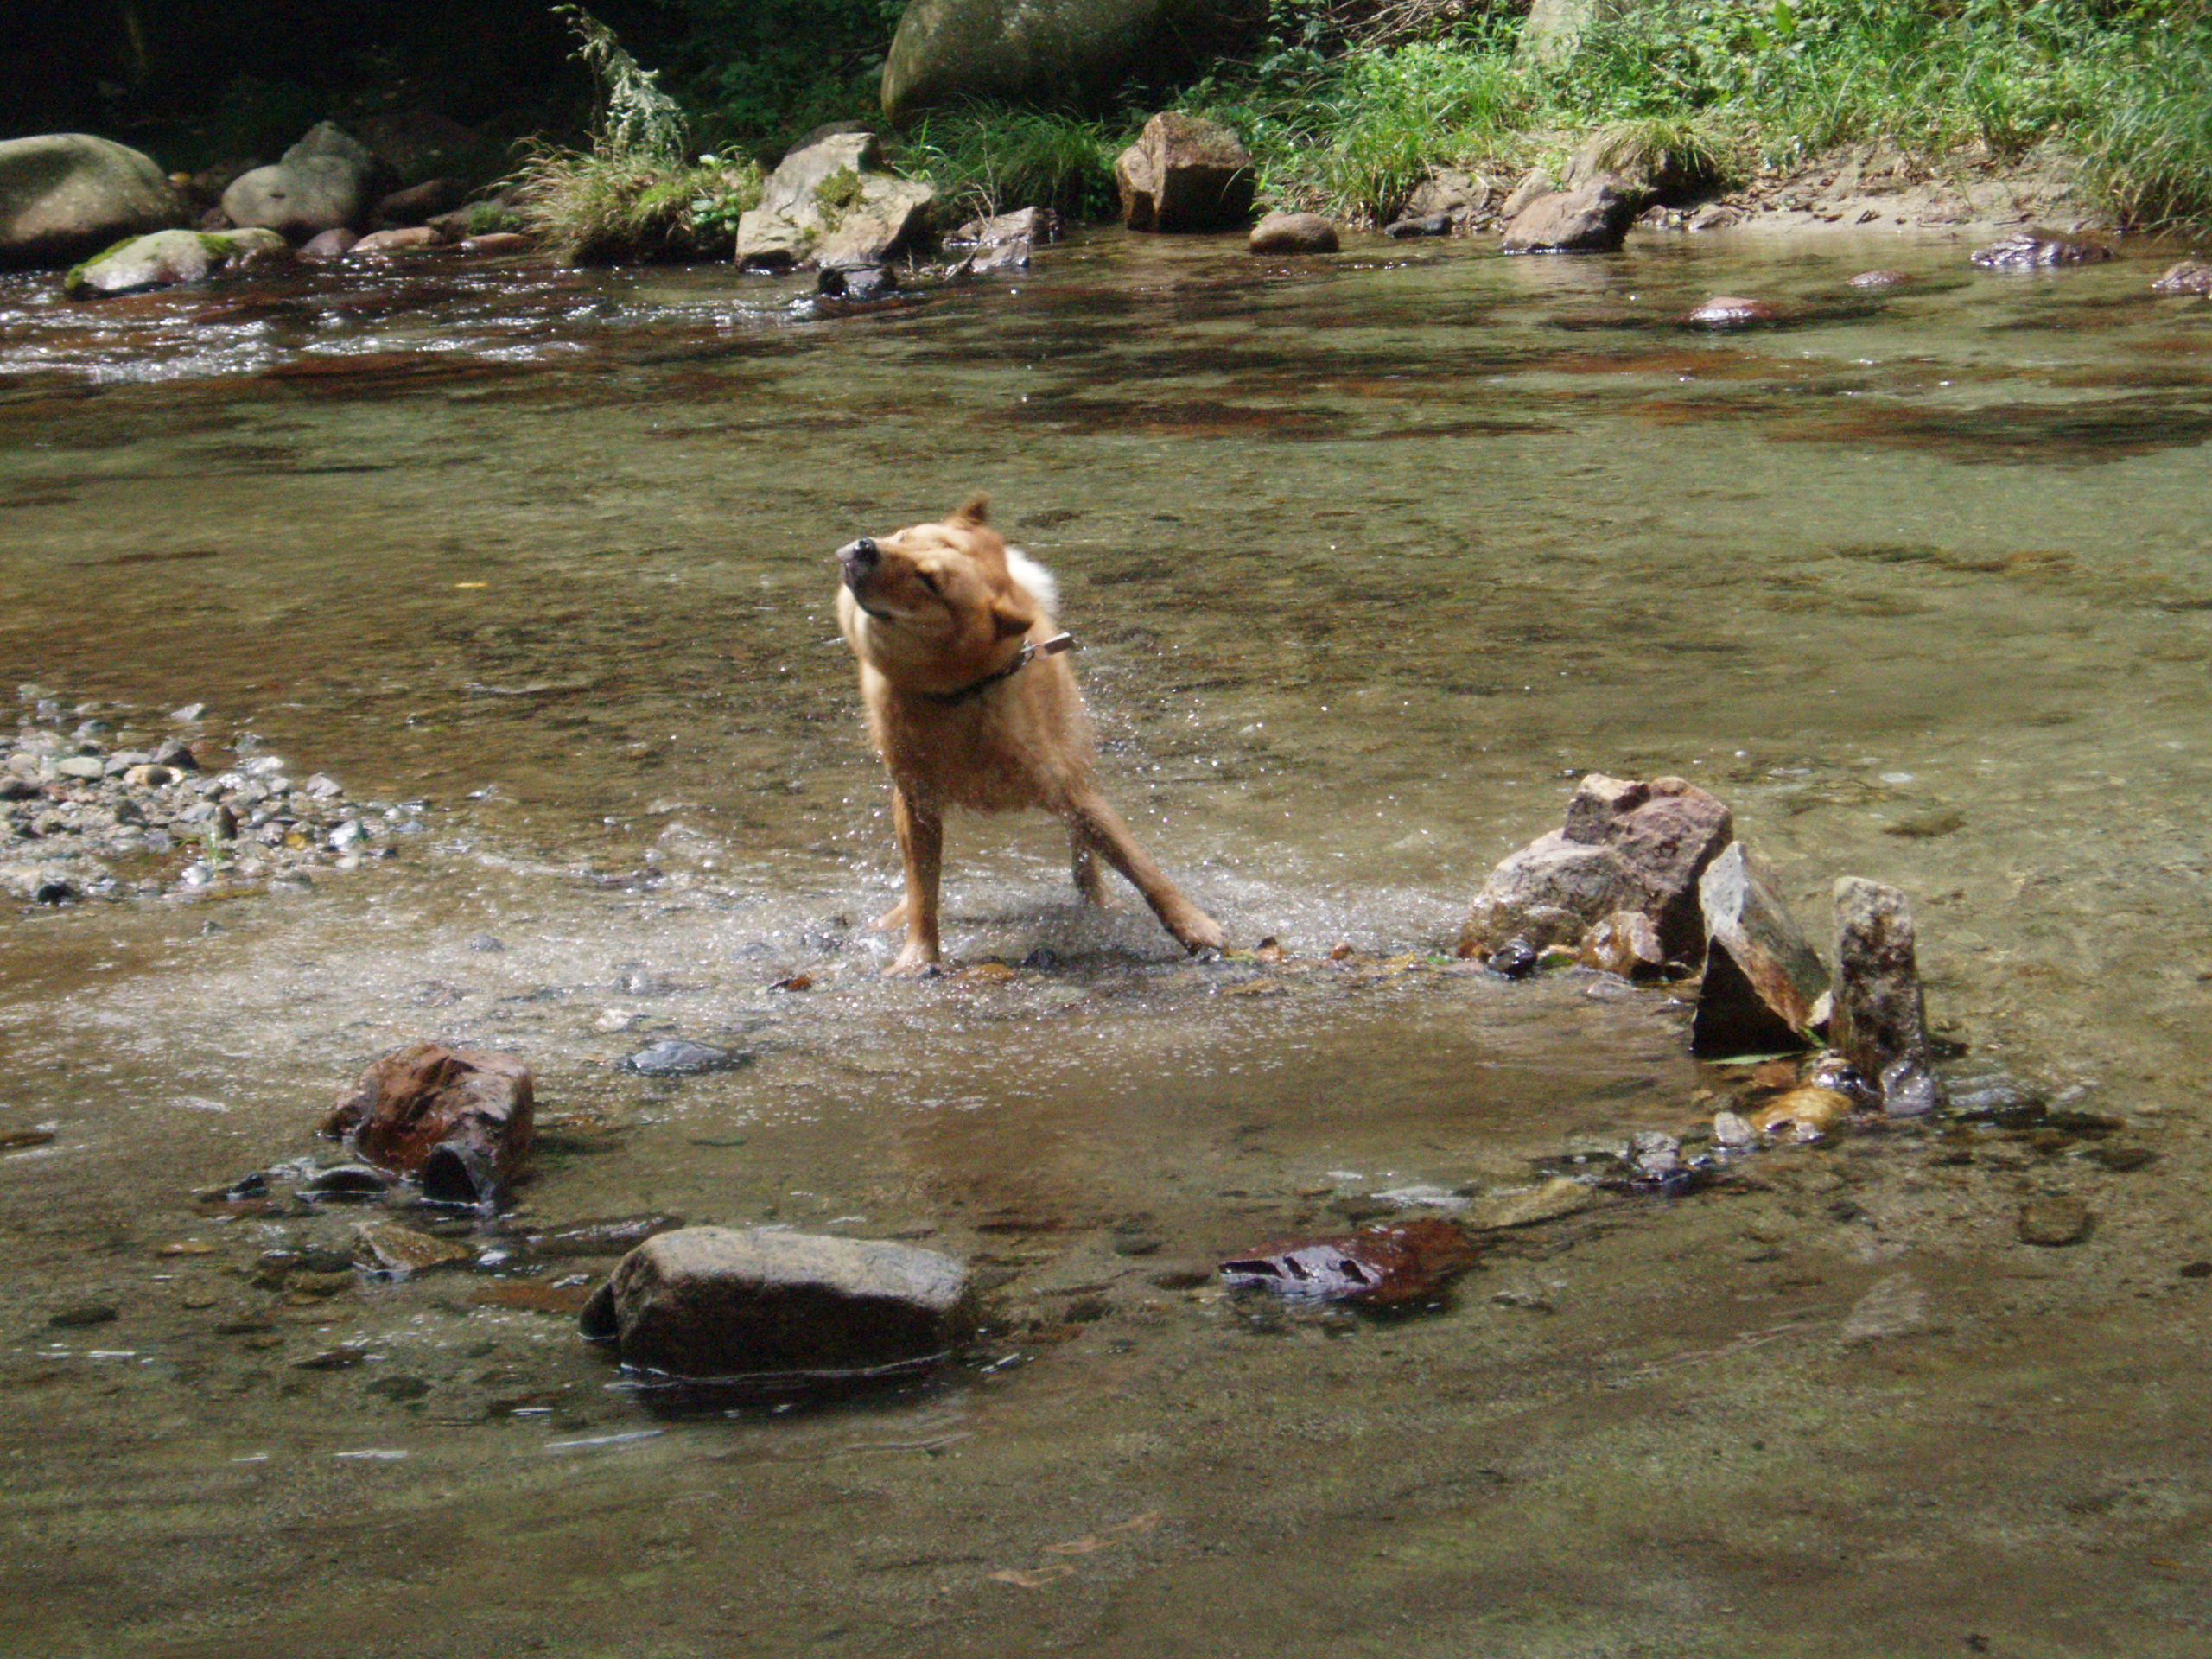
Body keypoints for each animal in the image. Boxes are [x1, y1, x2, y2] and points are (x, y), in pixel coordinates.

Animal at [836, 499, 1238, 982]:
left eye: (930, 581)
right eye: (902, 536)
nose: (865, 546)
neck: (960, 696)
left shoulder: (1072, 792)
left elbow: (1142, 868)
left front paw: (1195, 927)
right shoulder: (916, 802)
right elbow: (923, 891)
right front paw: (918, 956)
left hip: (1074, 757)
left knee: (1084, 853)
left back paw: (1097, 899)